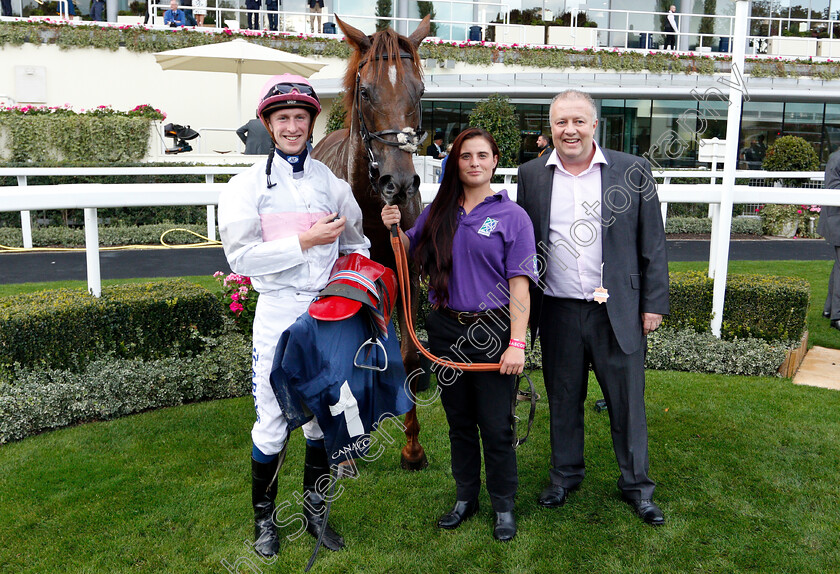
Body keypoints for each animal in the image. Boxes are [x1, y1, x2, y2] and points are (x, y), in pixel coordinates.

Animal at [312, 15, 430, 472]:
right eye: (365, 92)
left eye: (420, 90)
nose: (399, 183)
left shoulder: (406, 269)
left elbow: (411, 354)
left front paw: (413, 449)